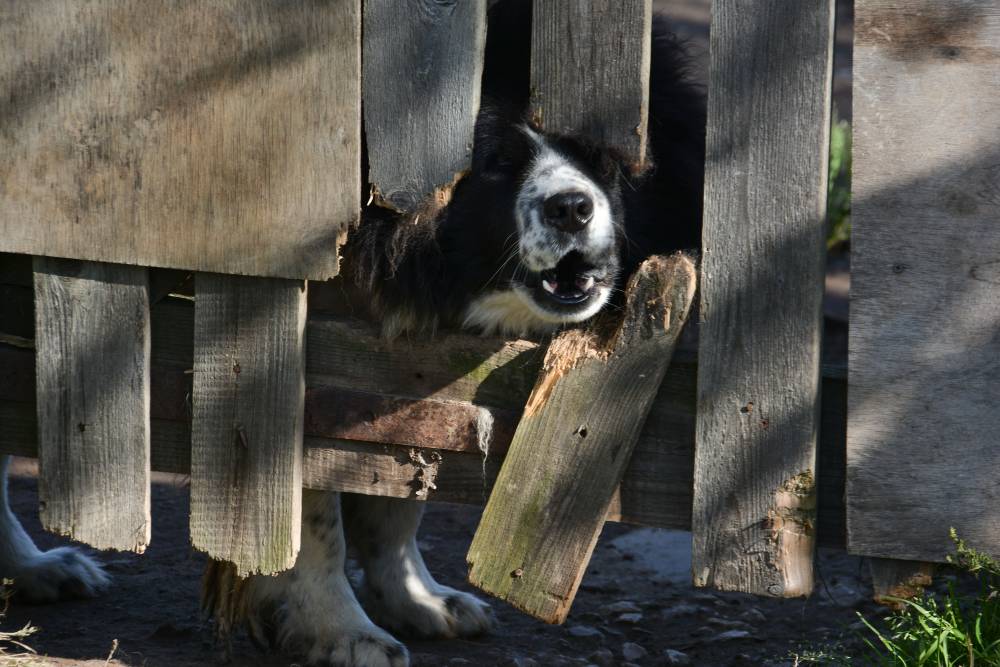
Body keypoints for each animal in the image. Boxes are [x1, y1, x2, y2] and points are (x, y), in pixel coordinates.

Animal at [0, 2, 704, 664]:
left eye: (602, 161)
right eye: (496, 164)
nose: (572, 206)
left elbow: (399, 502)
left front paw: (418, 601)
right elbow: (317, 523)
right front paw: (342, 632)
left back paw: (36, 571)